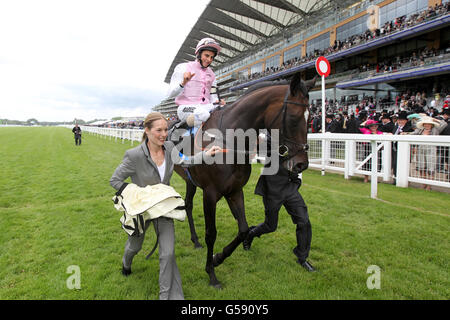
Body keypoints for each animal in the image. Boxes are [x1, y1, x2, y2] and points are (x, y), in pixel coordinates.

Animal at [174, 74, 314, 288]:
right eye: (294, 117)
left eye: (310, 116)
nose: (301, 164)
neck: (229, 139)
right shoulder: (210, 194)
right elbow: (211, 233)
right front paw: (211, 273)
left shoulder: (234, 191)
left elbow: (243, 229)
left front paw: (218, 258)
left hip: (191, 181)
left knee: (188, 204)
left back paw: (195, 240)